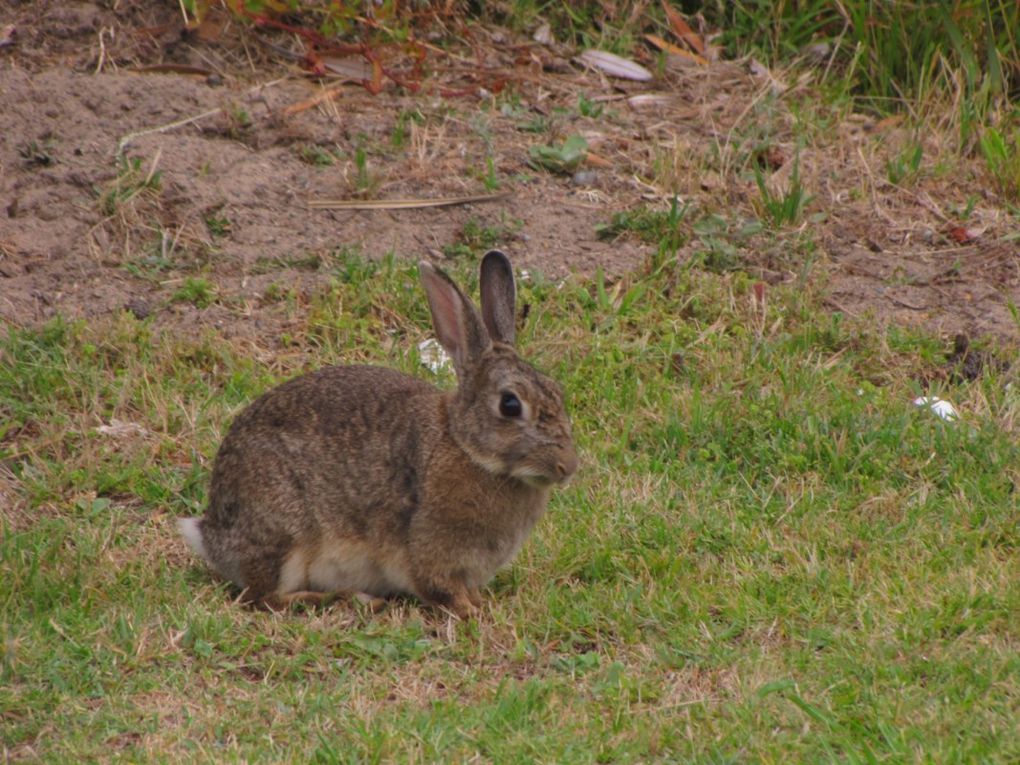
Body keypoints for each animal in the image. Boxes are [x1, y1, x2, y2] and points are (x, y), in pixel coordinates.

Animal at [179, 251, 579, 616]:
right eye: (510, 405)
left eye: (557, 391)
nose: (568, 467)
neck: (465, 446)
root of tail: (212, 536)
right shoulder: (429, 552)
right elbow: (441, 589)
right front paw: (471, 612)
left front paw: (479, 604)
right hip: (285, 531)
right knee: (265, 598)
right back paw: (347, 599)